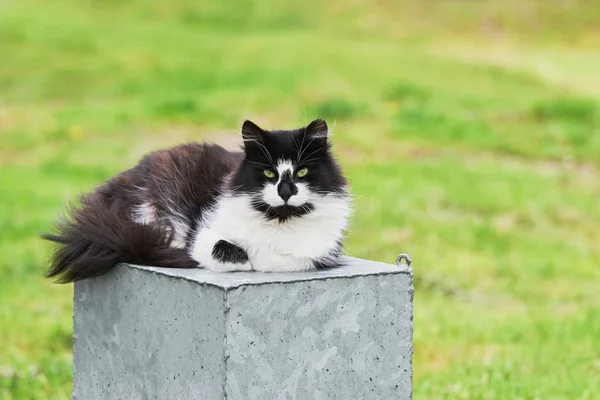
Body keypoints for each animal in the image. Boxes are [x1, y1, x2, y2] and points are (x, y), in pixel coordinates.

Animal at [44, 117, 354, 282]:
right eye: (268, 172)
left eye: (302, 171)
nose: (286, 191)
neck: (279, 220)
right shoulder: (204, 235)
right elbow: (230, 253)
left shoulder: (320, 253)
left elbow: (282, 258)